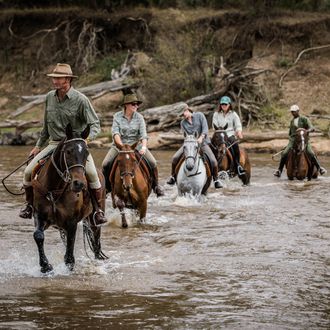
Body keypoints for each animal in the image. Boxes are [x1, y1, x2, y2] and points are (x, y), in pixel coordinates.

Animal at [30, 124, 106, 274]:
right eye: (69, 151)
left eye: (86, 153)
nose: (79, 184)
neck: (54, 189)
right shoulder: (40, 215)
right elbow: (38, 236)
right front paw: (45, 266)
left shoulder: (71, 222)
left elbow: (70, 250)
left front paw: (69, 266)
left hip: (94, 220)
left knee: (96, 241)